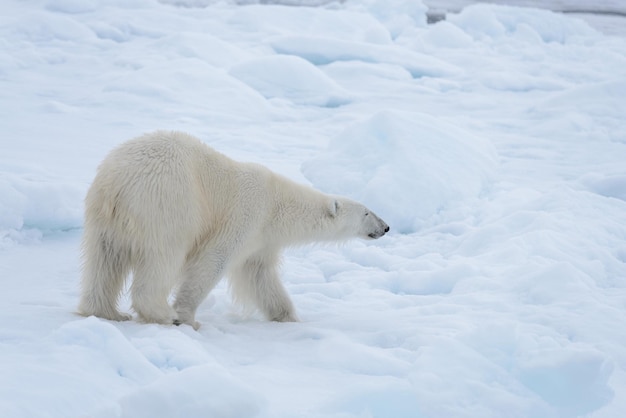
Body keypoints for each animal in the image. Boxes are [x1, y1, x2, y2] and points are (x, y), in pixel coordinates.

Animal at [77, 131, 388, 330]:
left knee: (103, 259)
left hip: (103, 217)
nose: (385, 227)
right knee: (163, 256)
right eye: (366, 212)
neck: (277, 204)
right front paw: (187, 316)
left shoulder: (262, 240)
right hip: (167, 203)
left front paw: (287, 316)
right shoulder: (247, 214)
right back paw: (163, 315)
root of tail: (116, 182)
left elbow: (260, 276)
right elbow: (214, 260)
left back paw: (106, 312)